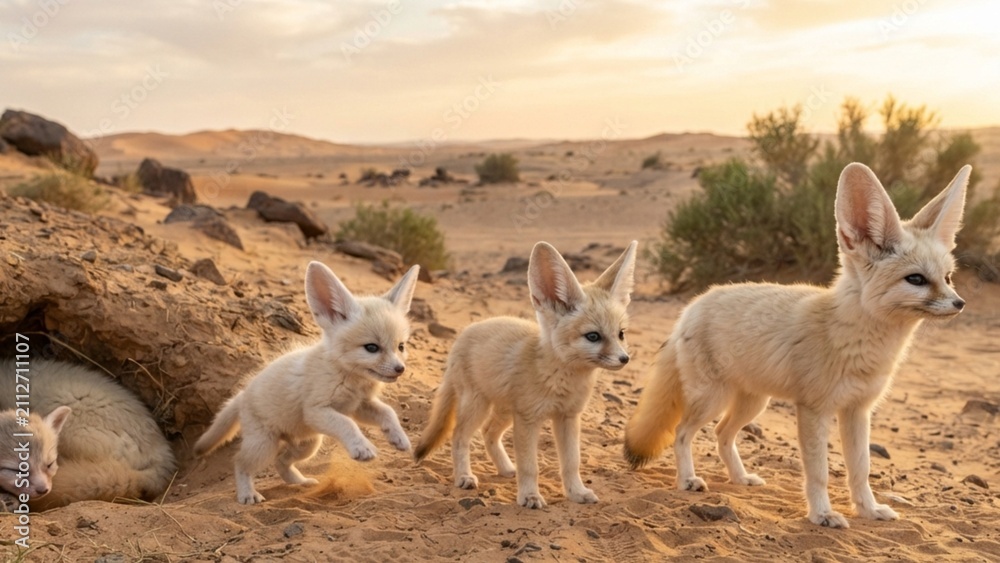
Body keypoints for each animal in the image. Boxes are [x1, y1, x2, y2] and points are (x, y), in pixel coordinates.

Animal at [194, 261, 419, 504]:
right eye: (371, 348)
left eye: (401, 346)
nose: (400, 369)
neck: (347, 376)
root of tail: (242, 394)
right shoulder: (317, 410)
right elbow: (347, 424)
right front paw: (362, 447)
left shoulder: (359, 405)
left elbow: (388, 412)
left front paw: (398, 437)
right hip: (265, 445)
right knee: (240, 462)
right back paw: (247, 494)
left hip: (308, 444)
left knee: (281, 461)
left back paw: (300, 482)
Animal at [415, 241, 637, 508]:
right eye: (593, 336)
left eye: (621, 334)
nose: (624, 359)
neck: (560, 380)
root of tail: (465, 333)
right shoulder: (529, 419)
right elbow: (530, 465)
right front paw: (530, 496)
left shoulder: (568, 417)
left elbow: (571, 462)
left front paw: (577, 493)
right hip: (479, 407)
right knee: (459, 436)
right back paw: (464, 476)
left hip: (505, 412)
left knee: (488, 432)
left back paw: (506, 469)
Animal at [624, 163, 969, 528]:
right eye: (916, 279)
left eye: (947, 278)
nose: (960, 303)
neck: (858, 342)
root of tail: (692, 307)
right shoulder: (814, 409)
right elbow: (818, 472)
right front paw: (822, 514)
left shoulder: (857, 411)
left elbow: (861, 469)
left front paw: (869, 510)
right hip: (712, 400)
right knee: (681, 432)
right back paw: (687, 480)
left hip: (752, 404)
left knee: (721, 434)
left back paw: (740, 478)